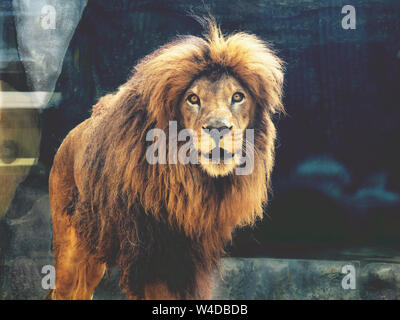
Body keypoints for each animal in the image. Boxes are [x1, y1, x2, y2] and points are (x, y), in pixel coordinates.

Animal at [48, 17, 282, 298]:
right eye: (193, 98)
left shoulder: (191, 258)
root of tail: (70, 135)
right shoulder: (151, 256)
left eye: (238, 96)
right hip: (73, 249)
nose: (218, 128)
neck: (188, 181)